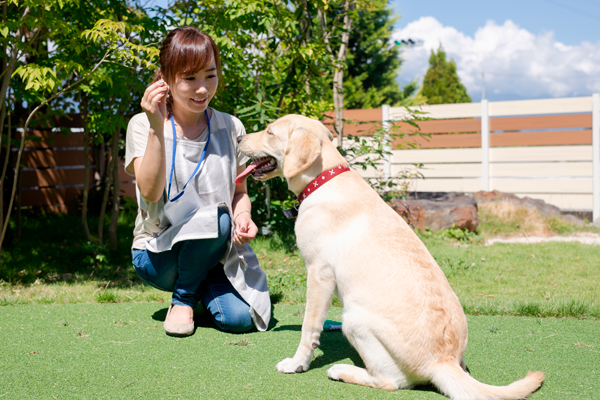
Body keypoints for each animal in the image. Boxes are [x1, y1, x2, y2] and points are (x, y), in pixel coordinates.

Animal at [236, 114, 544, 398]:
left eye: (269, 131)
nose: (238, 138)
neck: (323, 180)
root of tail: (443, 361)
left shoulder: (319, 274)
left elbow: (308, 328)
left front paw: (297, 364)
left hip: (354, 318)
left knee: (390, 382)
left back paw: (343, 370)